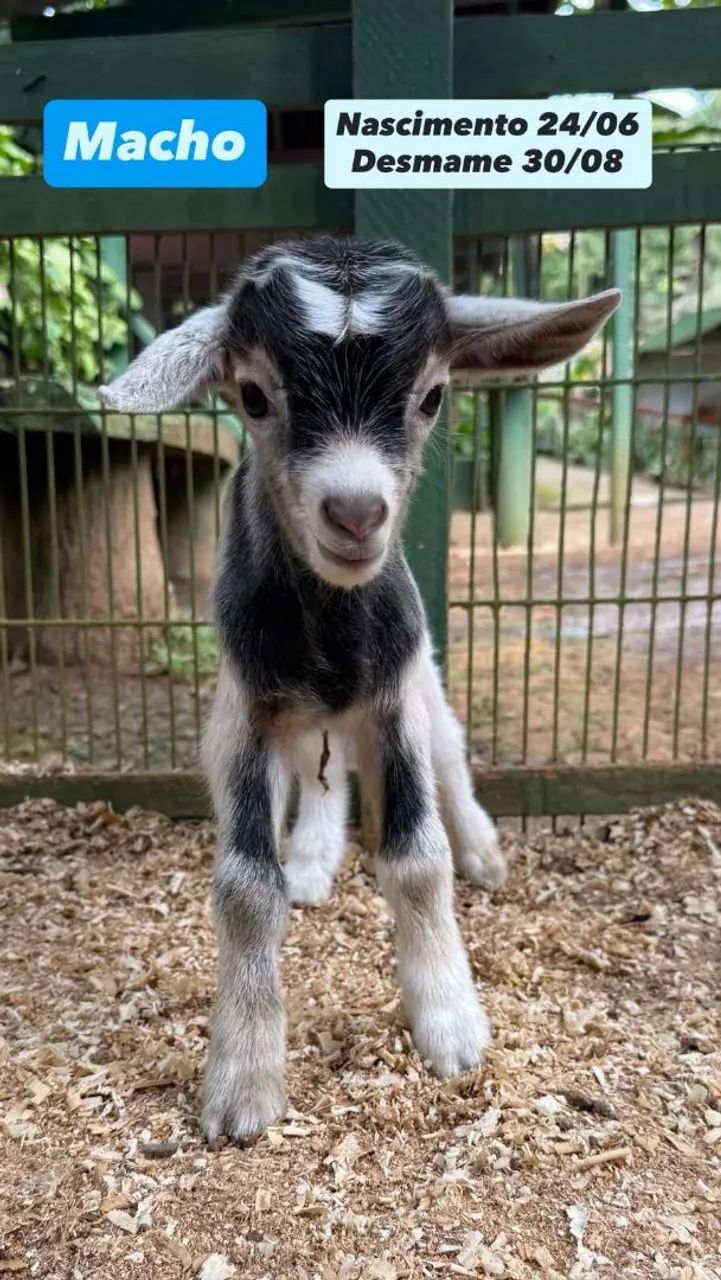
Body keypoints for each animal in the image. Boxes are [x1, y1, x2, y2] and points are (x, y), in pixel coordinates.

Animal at [101, 235, 619, 1142]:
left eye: (433, 395)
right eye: (252, 395)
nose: (354, 514)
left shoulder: (393, 702)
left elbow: (416, 859)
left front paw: (451, 1027)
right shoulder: (241, 714)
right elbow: (243, 887)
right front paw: (242, 1081)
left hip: (424, 686)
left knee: (448, 759)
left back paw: (483, 854)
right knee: (322, 774)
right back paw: (311, 860)